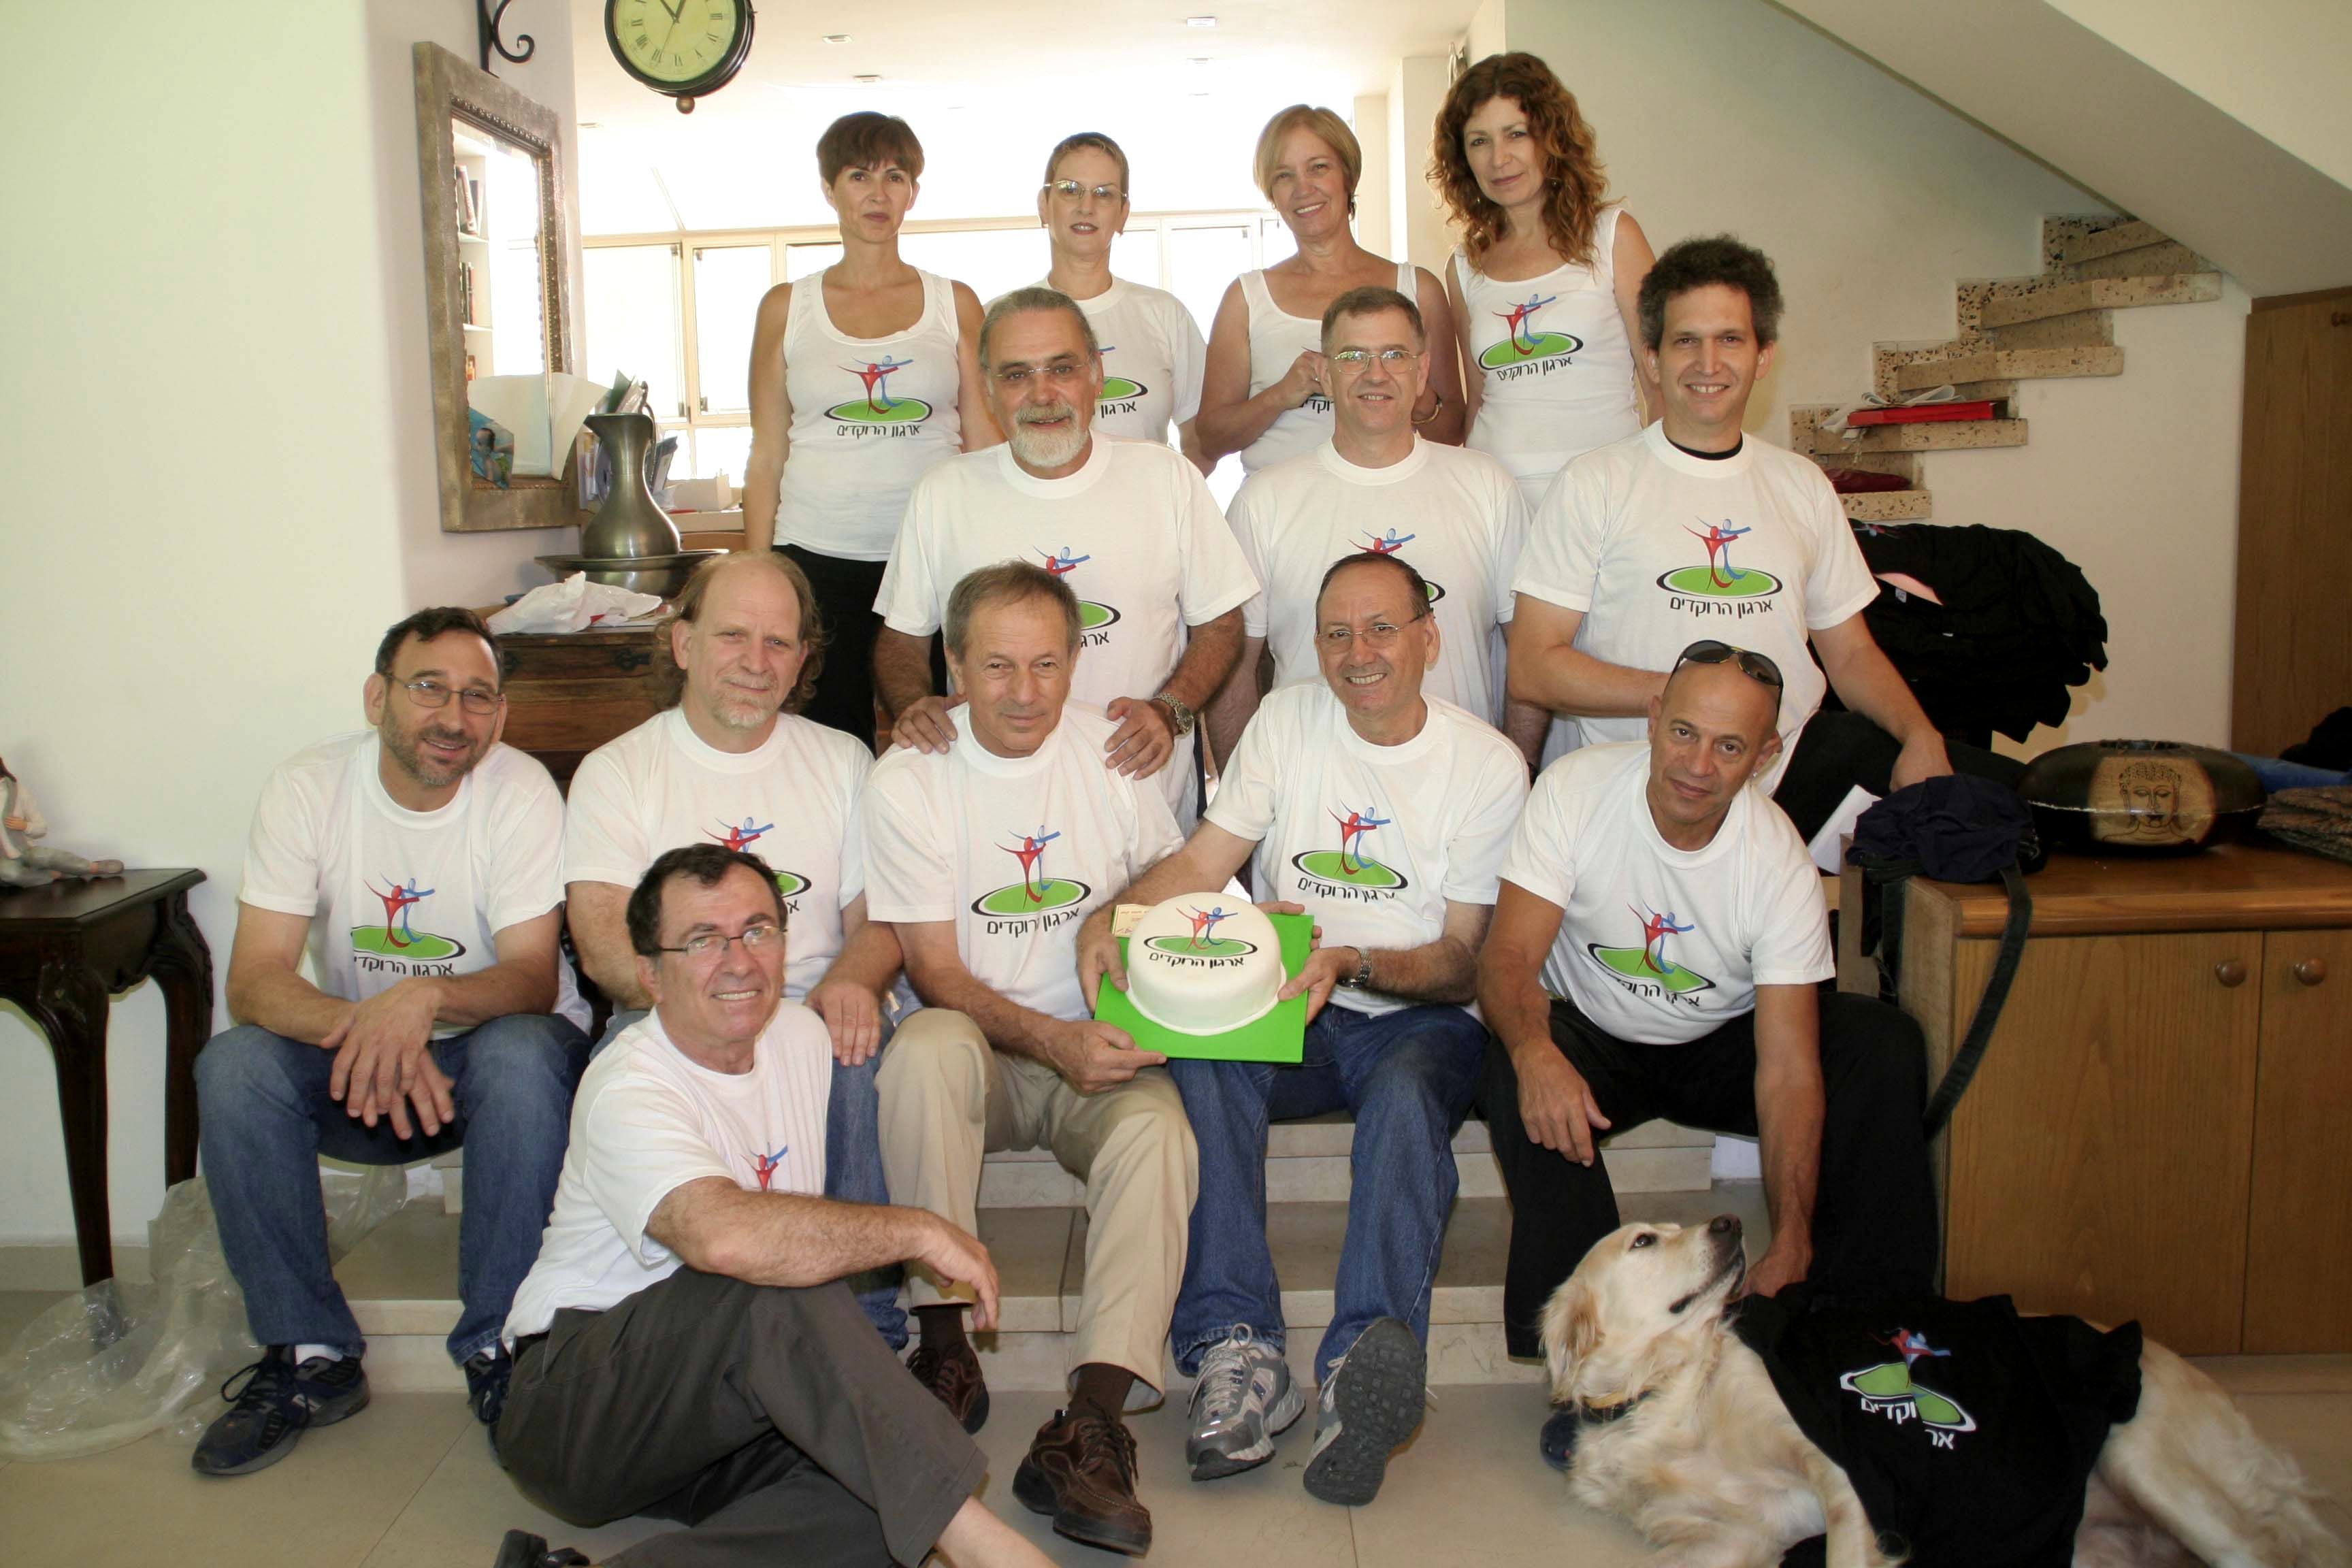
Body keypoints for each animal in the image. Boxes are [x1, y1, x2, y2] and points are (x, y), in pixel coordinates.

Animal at [1539, 1216, 2347, 1567]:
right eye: (1644, 1240)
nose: (1731, 1220)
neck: (1665, 1391)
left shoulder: (1848, 1472)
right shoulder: (1730, 1539)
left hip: (2148, 1463)